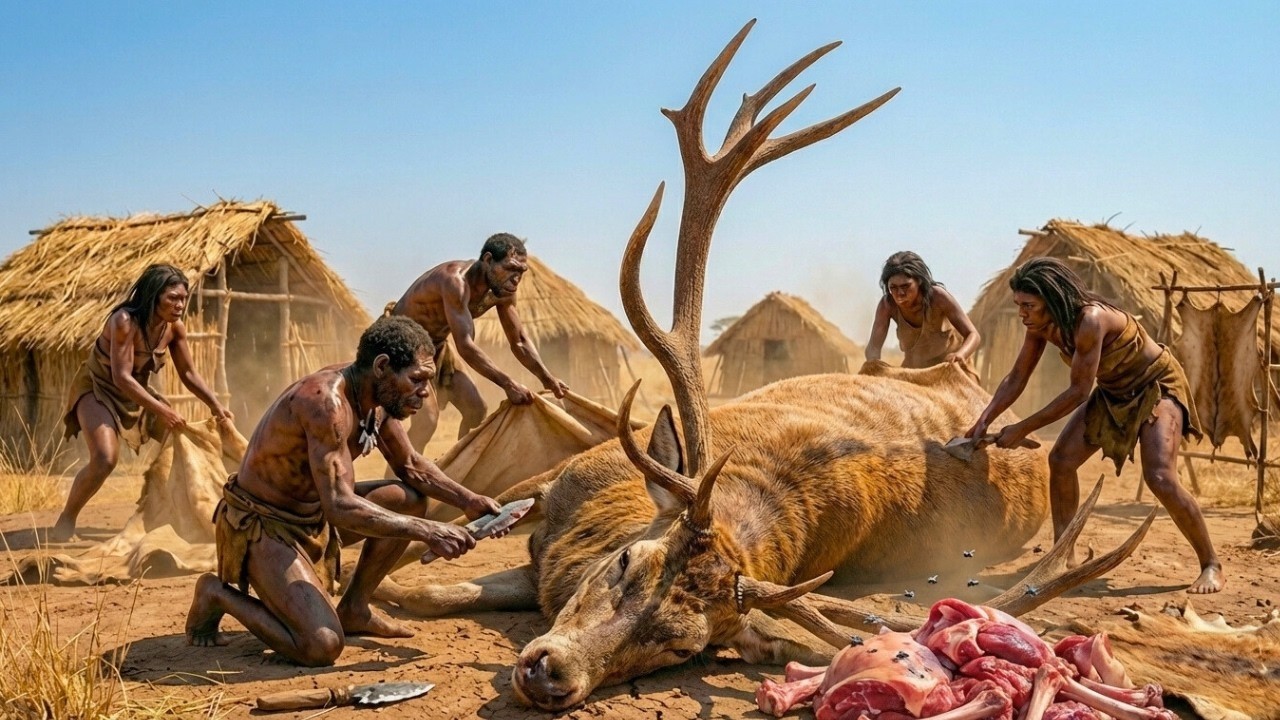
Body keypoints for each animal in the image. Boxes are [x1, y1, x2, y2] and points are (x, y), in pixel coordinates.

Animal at [374, 20, 1155, 712]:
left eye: (681, 648)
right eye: (629, 563)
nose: (549, 672)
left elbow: (412, 588)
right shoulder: (554, 488)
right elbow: (418, 578)